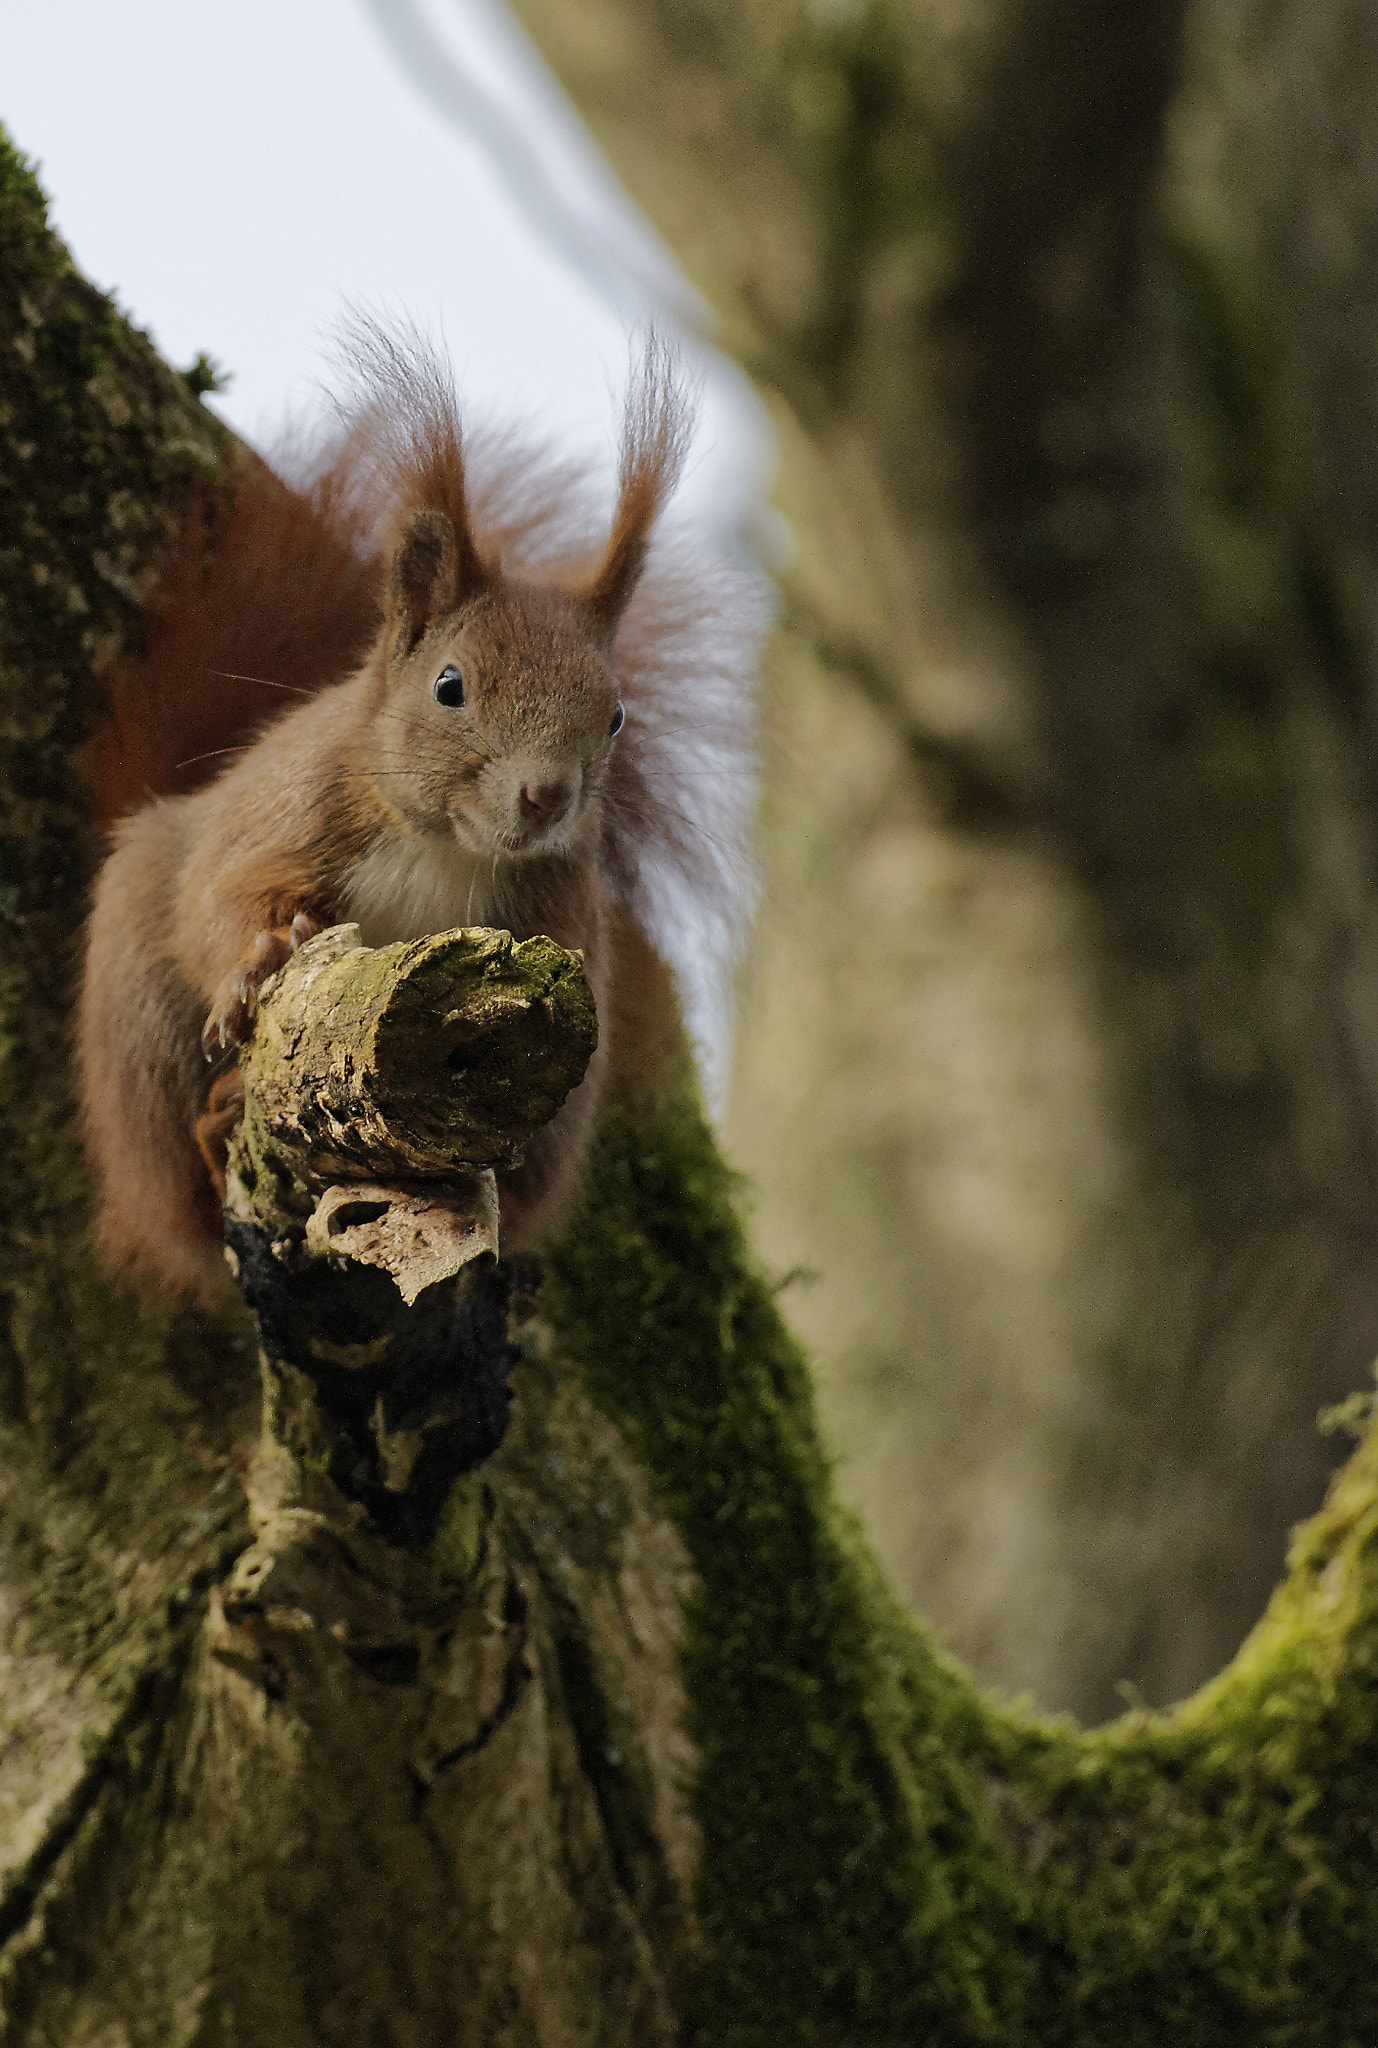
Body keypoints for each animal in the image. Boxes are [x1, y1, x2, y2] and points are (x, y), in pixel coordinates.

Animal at [77, 327, 757, 1308]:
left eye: (616, 716)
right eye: (450, 686)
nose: (546, 796)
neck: (445, 848)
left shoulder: (559, 912)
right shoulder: (284, 813)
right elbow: (220, 898)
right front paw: (261, 955)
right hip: (138, 1009)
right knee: (177, 1192)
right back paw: (213, 1122)